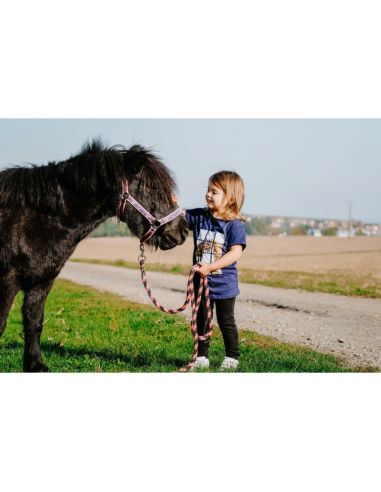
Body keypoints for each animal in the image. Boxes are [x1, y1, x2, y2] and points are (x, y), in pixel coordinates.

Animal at [0, 140, 188, 370]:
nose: (182, 231)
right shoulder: (7, 281)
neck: (34, 220)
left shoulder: (41, 282)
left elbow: (34, 323)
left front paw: (35, 365)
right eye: (153, 188)